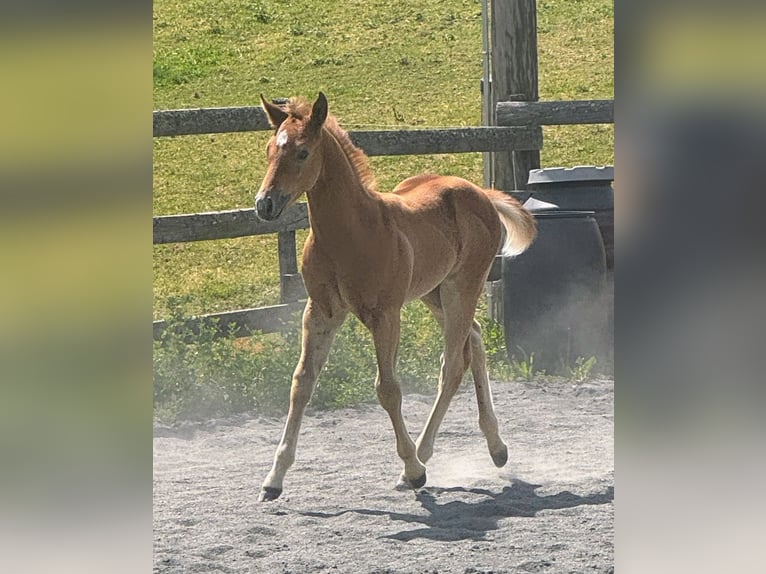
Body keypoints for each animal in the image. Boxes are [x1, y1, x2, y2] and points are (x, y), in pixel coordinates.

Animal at [255, 93, 536, 501]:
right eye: (269, 150)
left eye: (303, 152)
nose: (265, 204)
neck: (350, 232)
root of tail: (481, 193)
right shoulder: (320, 311)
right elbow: (302, 383)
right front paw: (273, 479)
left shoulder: (385, 314)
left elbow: (387, 389)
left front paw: (413, 470)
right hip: (434, 292)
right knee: (475, 338)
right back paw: (496, 448)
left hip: (462, 286)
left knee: (453, 365)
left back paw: (422, 458)